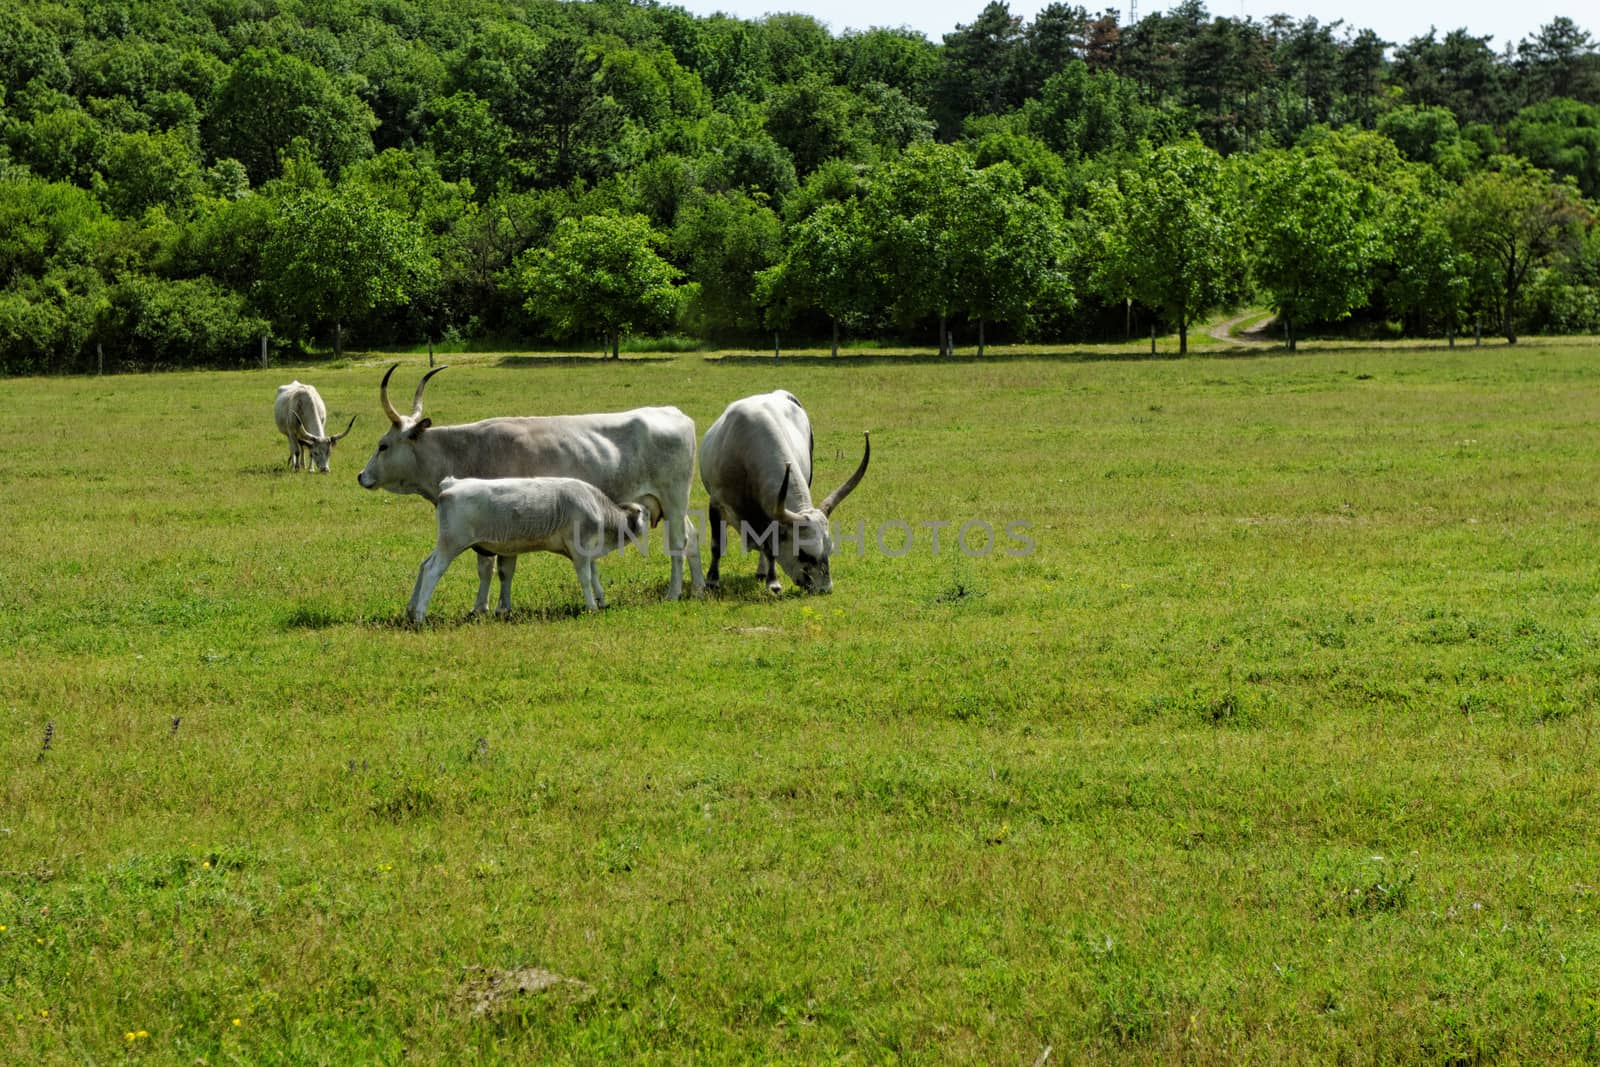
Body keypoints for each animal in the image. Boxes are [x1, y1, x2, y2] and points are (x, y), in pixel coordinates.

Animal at [356, 363, 707, 604]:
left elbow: (492, 567)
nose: (362, 476)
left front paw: (483, 608)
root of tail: (674, 413)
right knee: (692, 537)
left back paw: (674, 593)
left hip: (674, 499)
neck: (466, 448)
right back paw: (700, 588)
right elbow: (499, 567)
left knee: (678, 543)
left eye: (383, 445)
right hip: (671, 505)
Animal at [406, 476, 649, 620]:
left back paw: (410, 608)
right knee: (432, 571)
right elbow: (585, 578)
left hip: (445, 543)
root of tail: (453, 484)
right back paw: (419, 614)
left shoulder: (587, 551)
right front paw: (591, 606)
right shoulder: (579, 550)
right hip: (451, 543)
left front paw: (603, 601)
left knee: (424, 565)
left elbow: (595, 576)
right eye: (645, 514)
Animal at [700, 390, 870, 598]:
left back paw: (762, 571)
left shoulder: (769, 516)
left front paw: (772, 582)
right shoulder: (716, 504)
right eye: (803, 553)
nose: (825, 589)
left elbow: (770, 548)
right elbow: (717, 545)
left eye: (829, 549)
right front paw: (711, 581)